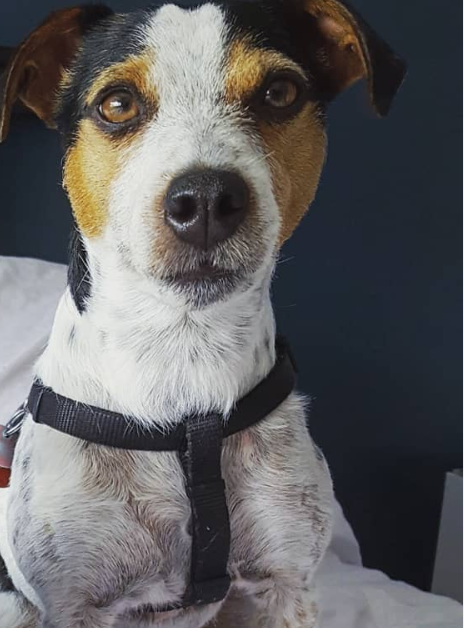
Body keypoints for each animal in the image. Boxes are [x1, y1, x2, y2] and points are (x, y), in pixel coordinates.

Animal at [0, 1, 405, 627]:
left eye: (280, 92)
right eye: (116, 104)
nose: (208, 198)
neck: (183, 356)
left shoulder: (286, 584)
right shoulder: (73, 604)